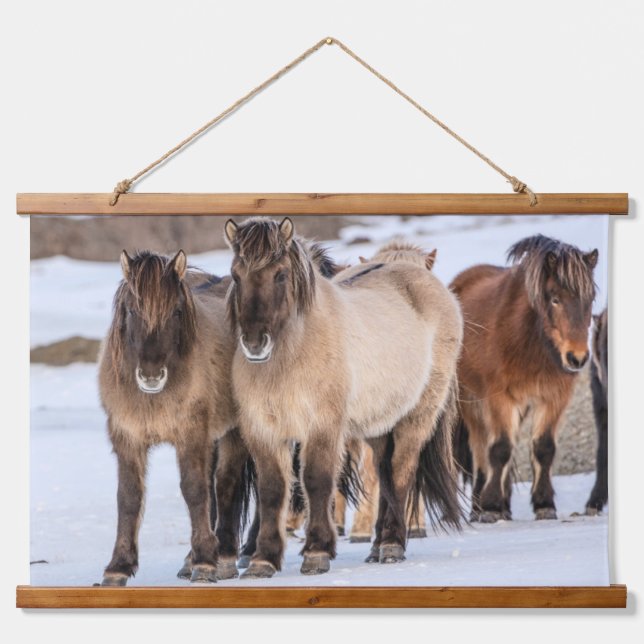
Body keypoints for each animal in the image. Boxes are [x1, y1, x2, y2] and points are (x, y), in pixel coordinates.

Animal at [98, 250, 252, 585]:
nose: (151, 376)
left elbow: (195, 491)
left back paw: (225, 557)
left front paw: (206, 563)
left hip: (235, 431)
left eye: (176, 312)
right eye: (132, 310)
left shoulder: (191, 436)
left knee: (226, 484)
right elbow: (128, 497)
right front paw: (118, 566)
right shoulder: (128, 438)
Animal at [224, 217, 463, 578]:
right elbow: (272, 491)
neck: (293, 354)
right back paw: (378, 546)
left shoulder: (323, 427)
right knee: (384, 473)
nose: (254, 343)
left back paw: (392, 544)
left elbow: (317, 481)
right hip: (380, 424)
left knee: (401, 471)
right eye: (236, 275)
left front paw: (317, 552)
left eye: (280, 274)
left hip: (417, 415)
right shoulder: (264, 431)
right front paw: (262, 559)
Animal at [451, 235, 598, 522]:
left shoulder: (554, 398)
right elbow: (499, 449)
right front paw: (491, 506)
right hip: (472, 402)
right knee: (481, 450)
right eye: (555, 298)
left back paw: (505, 508)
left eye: (591, 298)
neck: (528, 341)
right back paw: (479, 507)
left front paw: (544, 504)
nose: (577, 358)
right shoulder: (499, 398)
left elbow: (544, 448)